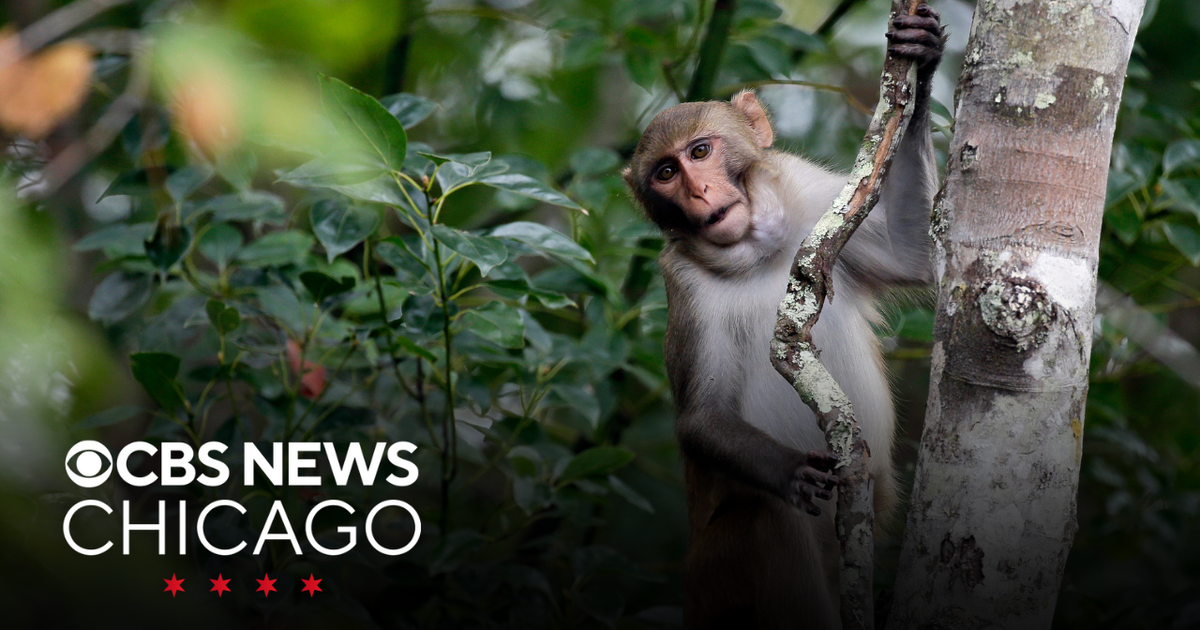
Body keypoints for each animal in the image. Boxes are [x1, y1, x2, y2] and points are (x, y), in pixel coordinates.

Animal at [622, 5, 945, 629]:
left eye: (700, 153)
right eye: (666, 174)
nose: (699, 193)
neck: (758, 251)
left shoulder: (814, 196)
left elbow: (914, 254)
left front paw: (922, 63)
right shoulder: (684, 285)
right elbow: (702, 417)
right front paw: (792, 471)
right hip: (716, 576)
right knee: (763, 519)